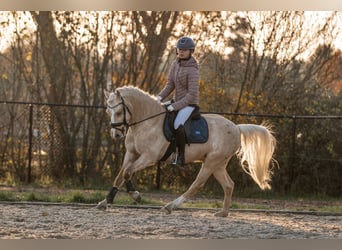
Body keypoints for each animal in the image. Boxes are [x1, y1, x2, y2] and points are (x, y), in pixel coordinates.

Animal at [95, 86, 276, 217]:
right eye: (108, 111)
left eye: (119, 112)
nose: (116, 134)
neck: (147, 122)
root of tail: (237, 128)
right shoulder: (131, 154)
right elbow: (120, 175)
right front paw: (106, 201)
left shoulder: (149, 157)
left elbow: (127, 173)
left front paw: (135, 195)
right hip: (218, 164)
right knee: (228, 185)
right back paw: (223, 213)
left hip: (211, 163)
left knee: (197, 184)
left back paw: (170, 207)